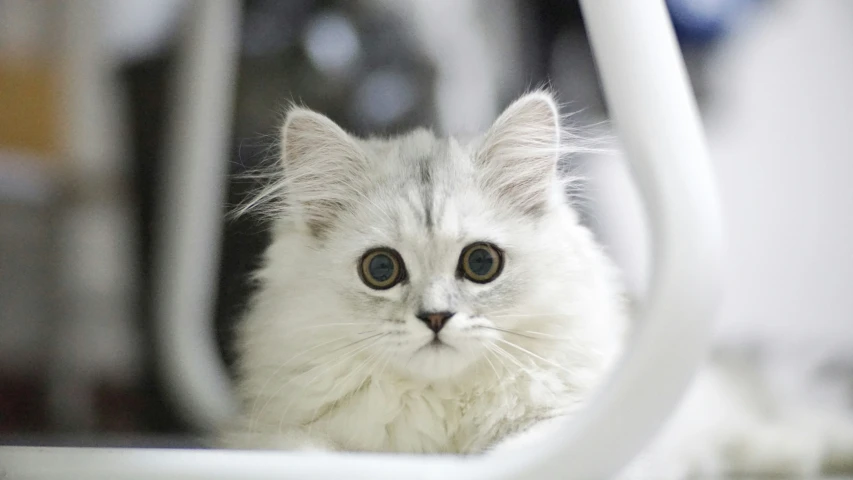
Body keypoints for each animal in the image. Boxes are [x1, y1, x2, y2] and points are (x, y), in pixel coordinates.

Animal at [221, 92, 852, 478]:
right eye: (381, 271)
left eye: (480, 263)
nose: (435, 319)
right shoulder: (269, 434)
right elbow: (306, 452)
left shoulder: (586, 423)